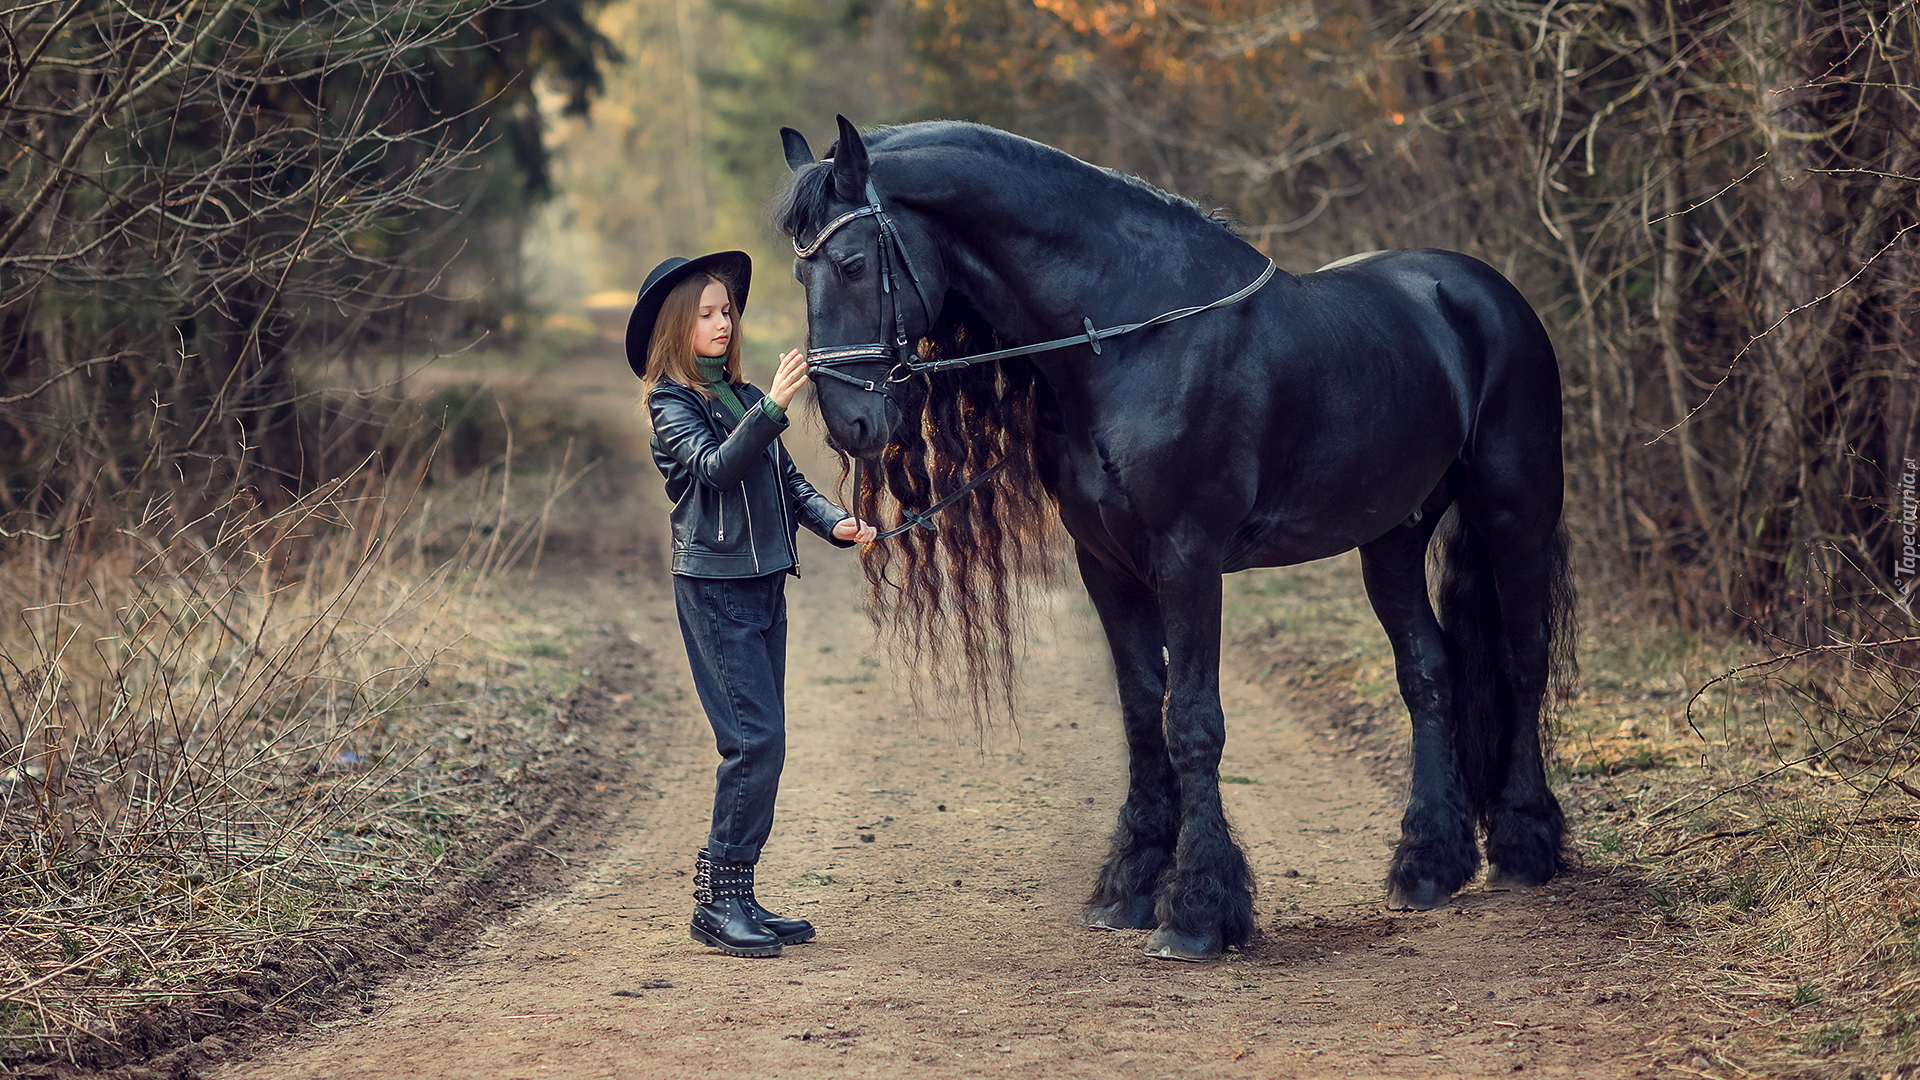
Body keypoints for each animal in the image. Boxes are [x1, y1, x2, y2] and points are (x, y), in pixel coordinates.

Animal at [771, 115, 1566, 957]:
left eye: (853, 264)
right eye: (800, 274)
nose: (851, 423)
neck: (1131, 339)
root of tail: (1482, 291)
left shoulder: (1188, 556)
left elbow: (1192, 720)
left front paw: (1198, 910)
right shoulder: (1106, 563)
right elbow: (1140, 710)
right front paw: (1131, 886)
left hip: (1514, 511)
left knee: (1522, 659)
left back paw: (1524, 844)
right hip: (1392, 537)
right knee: (1429, 672)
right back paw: (1429, 865)